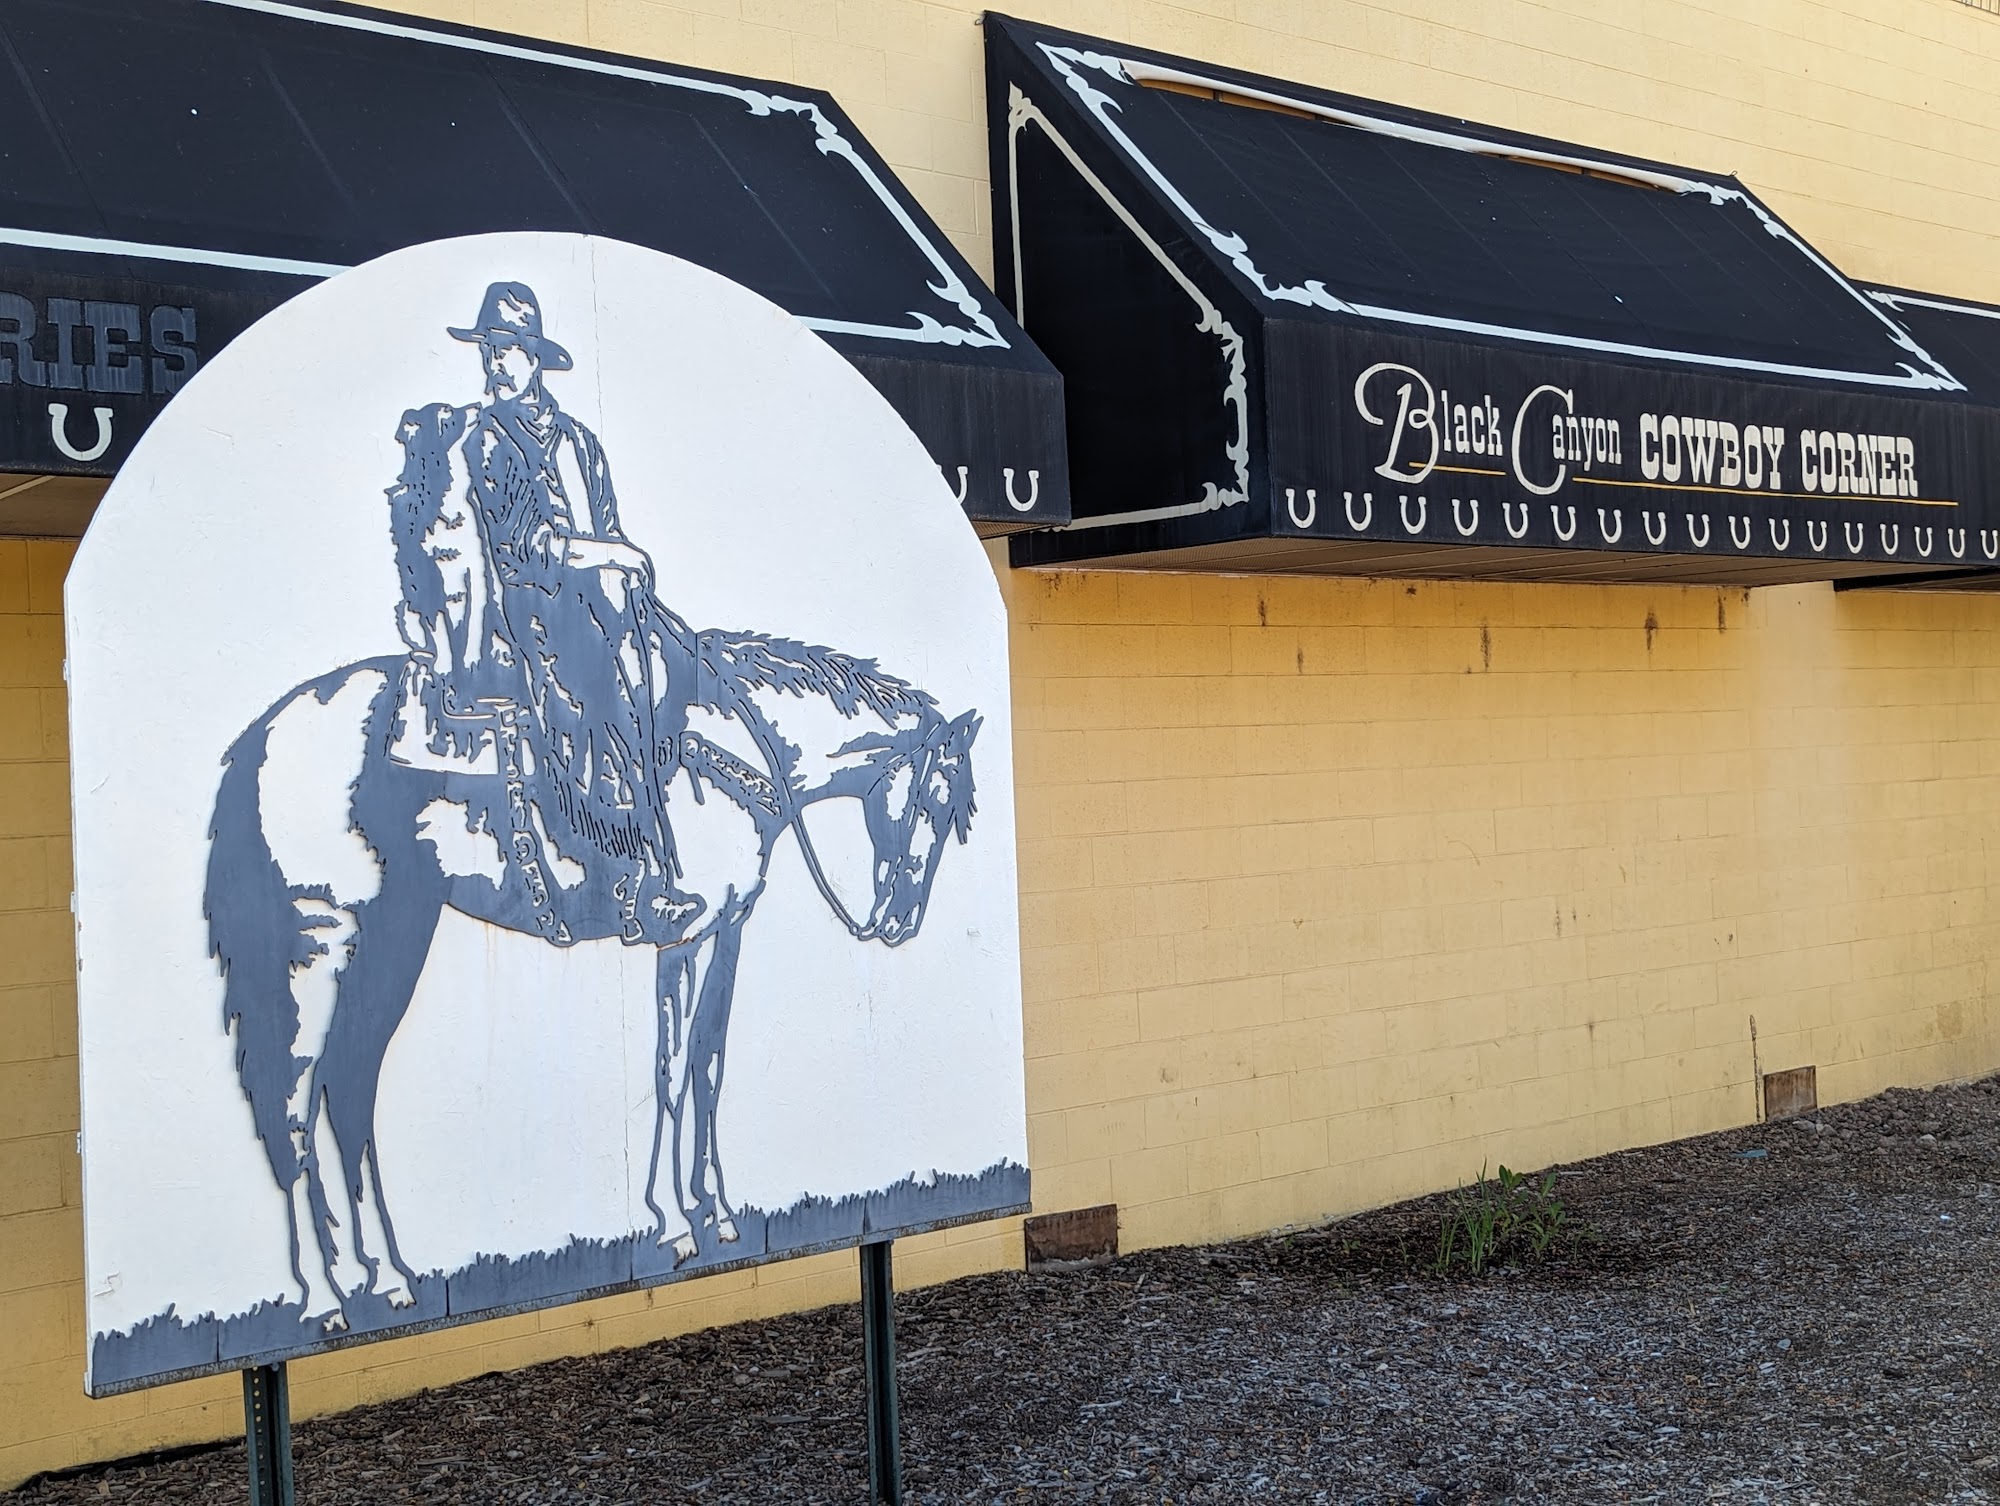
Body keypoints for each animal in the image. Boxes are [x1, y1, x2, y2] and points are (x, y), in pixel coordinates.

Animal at [204, 632, 980, 1334]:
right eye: (935, 804)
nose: (899, 923)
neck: (731, 750)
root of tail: (264, 735)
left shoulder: (727, 933)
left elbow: (709, 1065)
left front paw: (718, 1212)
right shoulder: (683, 935)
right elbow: (671, 1070)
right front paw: (674, 1222)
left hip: (397, 935)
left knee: (350, 1087)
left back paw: (387, 1278)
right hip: (322, 936)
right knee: (296, 1100)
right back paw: (326, 1296)